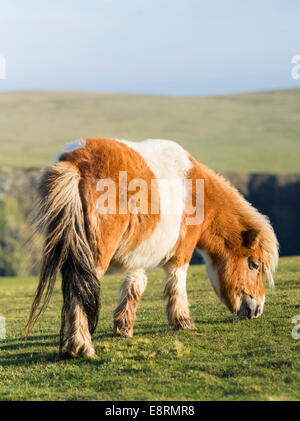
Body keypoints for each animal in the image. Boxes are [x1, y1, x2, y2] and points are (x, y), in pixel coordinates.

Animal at [25, 138, 278, 358]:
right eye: (254, 264)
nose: (258, 310)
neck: (196, 190)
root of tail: (75, 162)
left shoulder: (141, 255)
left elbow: (134, 287)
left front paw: (124, 327)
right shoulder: (182, 252)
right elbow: (176, 283)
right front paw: (183, 321)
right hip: (93, 258)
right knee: (80, 291)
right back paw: (82, 346)